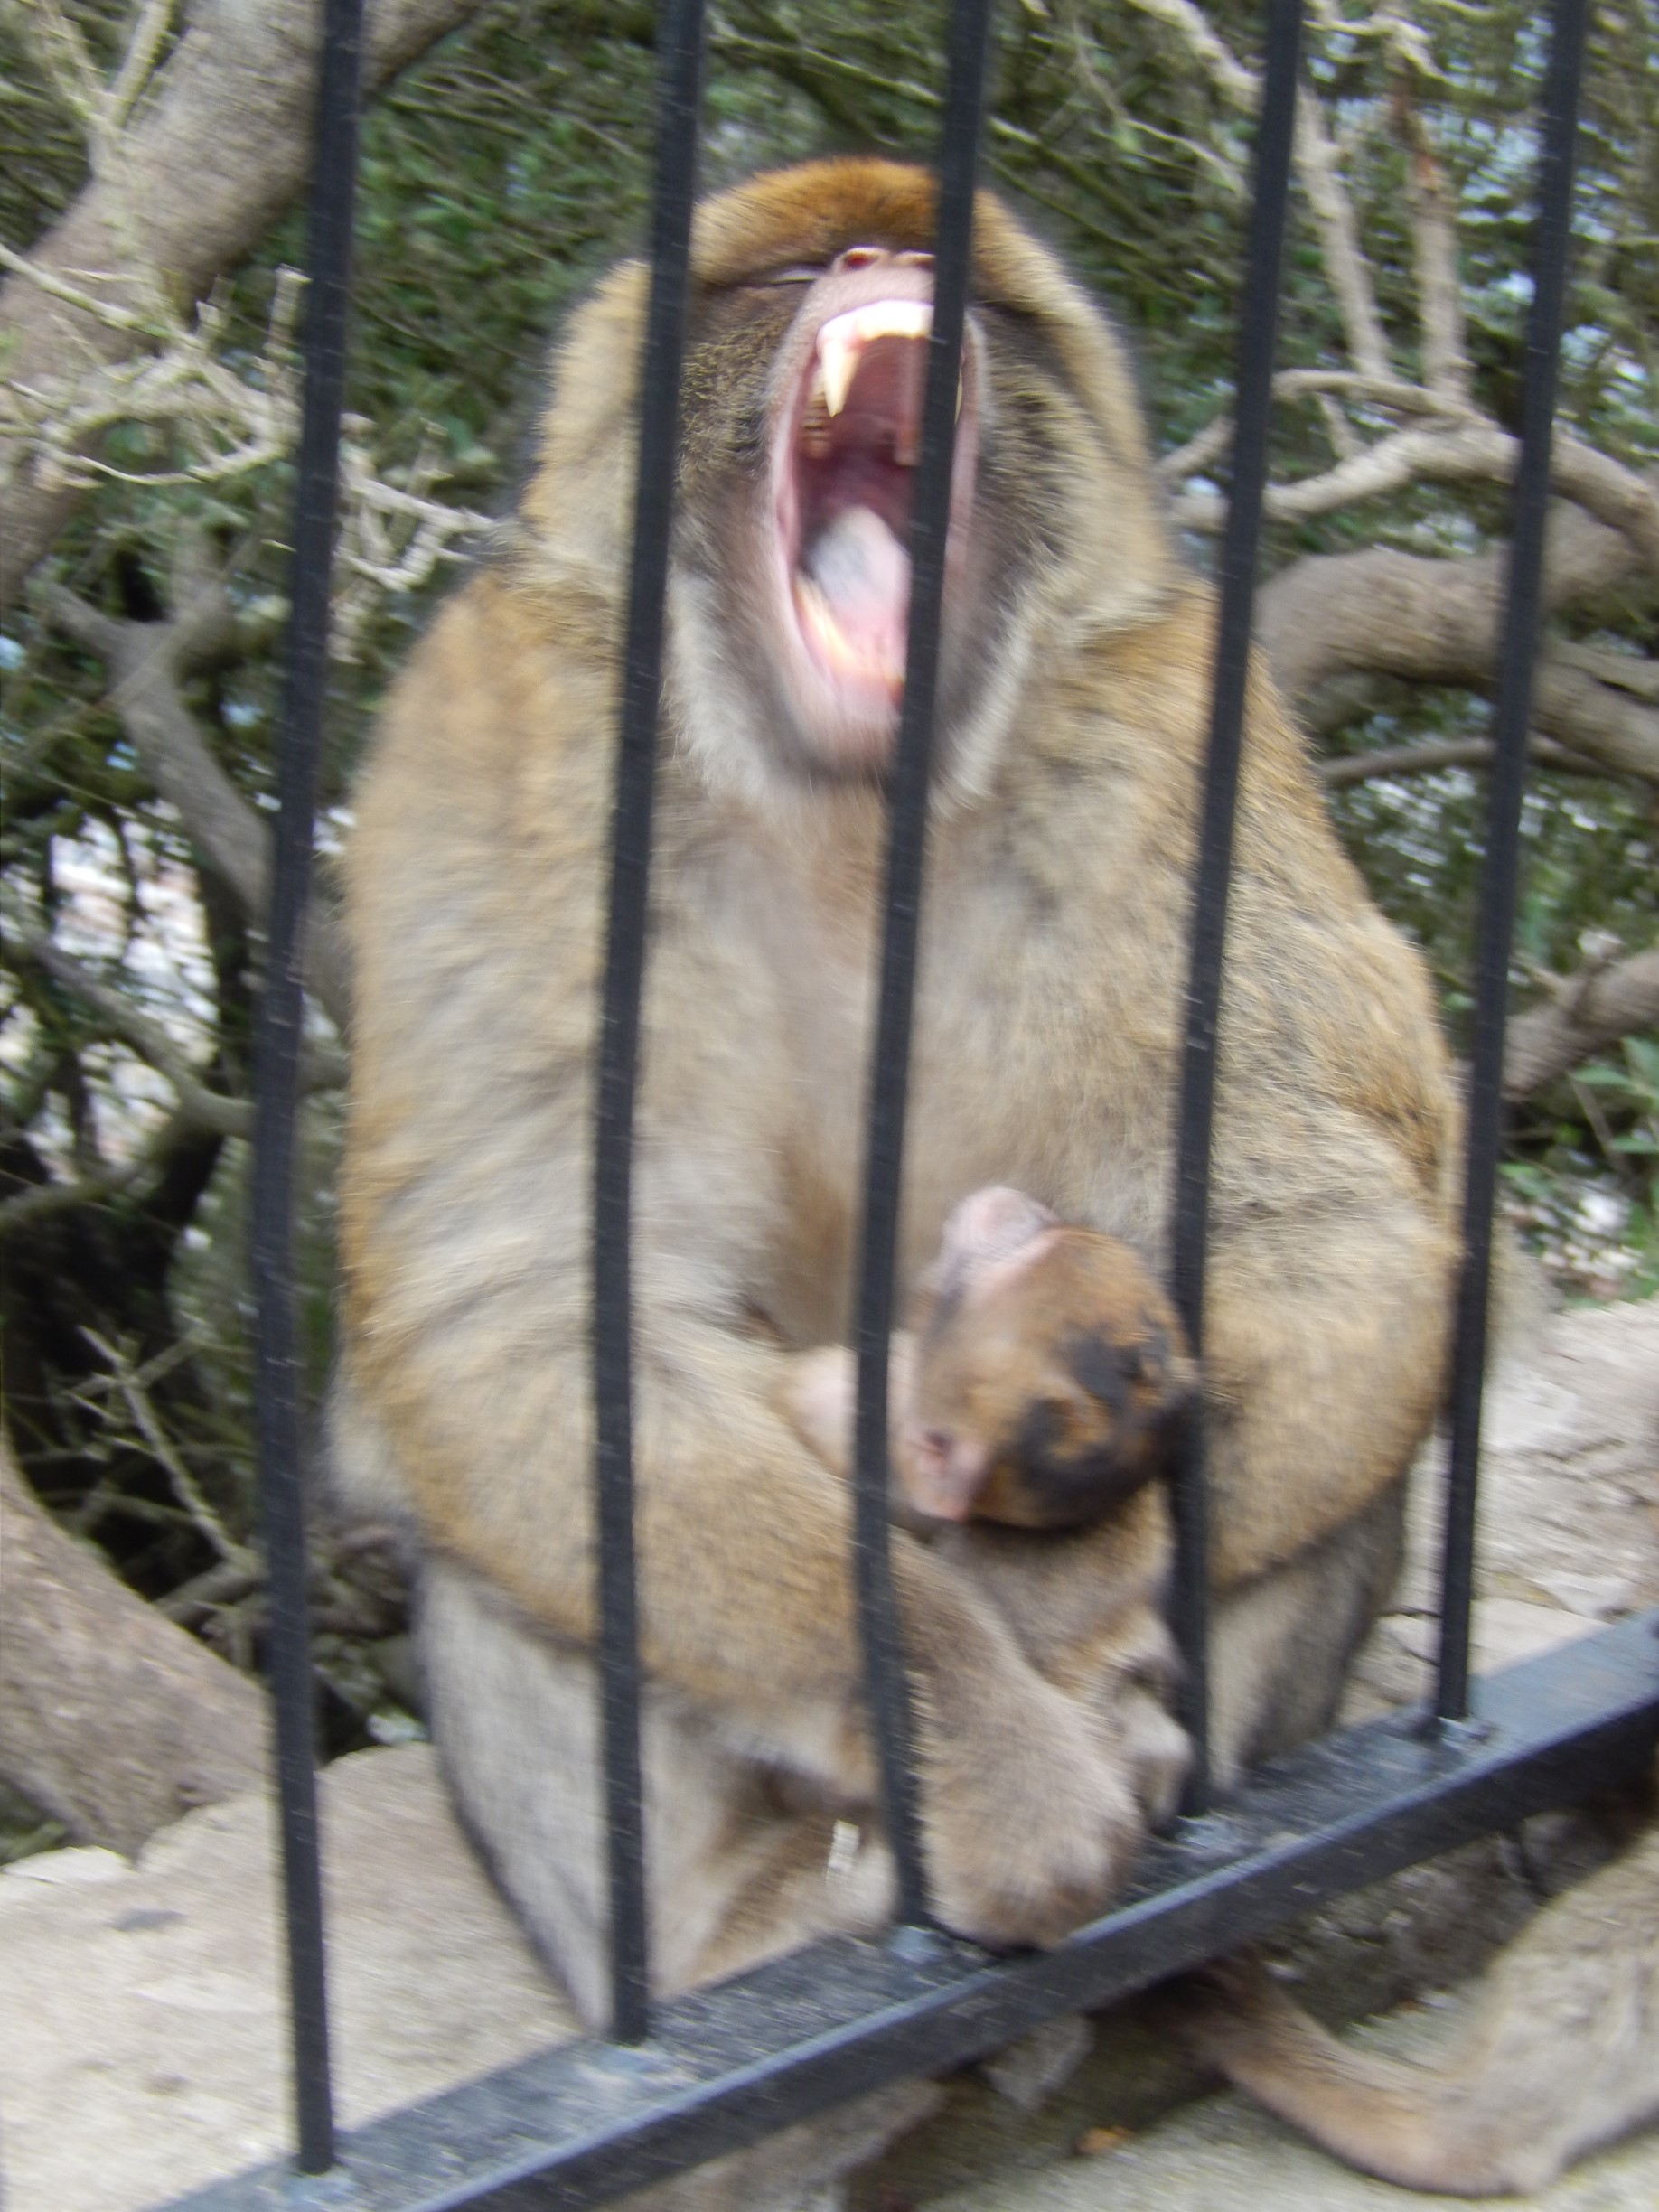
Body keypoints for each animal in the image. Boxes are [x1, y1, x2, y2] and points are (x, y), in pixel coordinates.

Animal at [333, 160, 1450, 2212]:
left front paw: (1042, 1595)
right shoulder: (504, 740)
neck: (848, 794)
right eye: (791, 265)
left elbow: (1313, 1223)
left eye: (977, 297)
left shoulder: (1180, 729)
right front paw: (985, 1742)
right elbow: (521, 1311)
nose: (882, 256)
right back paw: (766, 1950)